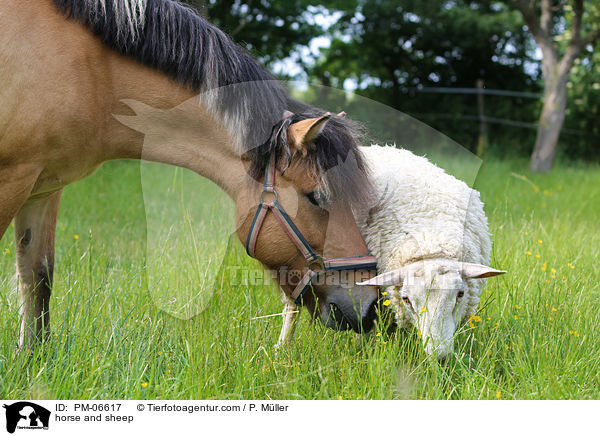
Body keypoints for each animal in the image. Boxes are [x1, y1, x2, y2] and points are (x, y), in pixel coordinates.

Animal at [0, 0, 380, 348]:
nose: (370, 306)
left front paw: (32, 357)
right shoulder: (13, 178)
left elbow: (38, 275)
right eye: (317, 198)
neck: (94, 73)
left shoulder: (45, 187)